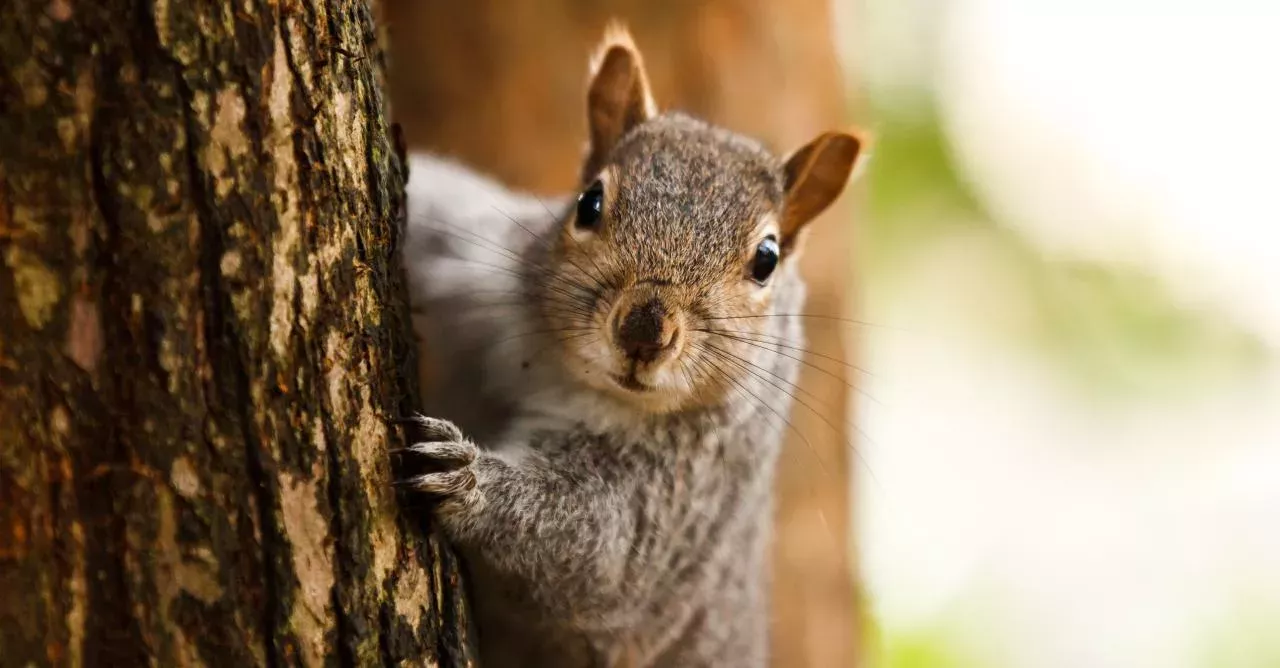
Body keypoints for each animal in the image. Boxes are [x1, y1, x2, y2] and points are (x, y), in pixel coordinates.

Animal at [399, 23, 862, 668]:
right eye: (589, 202)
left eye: (767, 259)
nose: (644, 332)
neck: (562, 373)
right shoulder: (473, 268)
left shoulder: (677, 496)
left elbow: (595, 548)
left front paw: (466, 478)